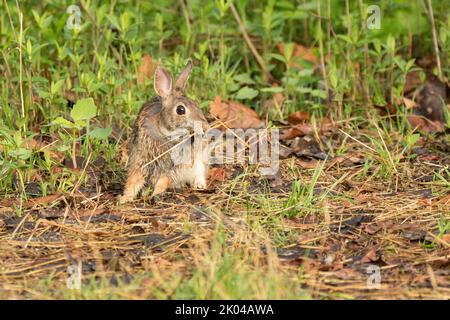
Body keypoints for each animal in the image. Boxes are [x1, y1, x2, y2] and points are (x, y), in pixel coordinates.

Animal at [119, 59, 211, 202]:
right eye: (180, 110)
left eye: (197, 104)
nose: (205, 127)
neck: (164, 133)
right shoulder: (139, 160)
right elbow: (133, 181)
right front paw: (124, 198)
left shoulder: (172, 168)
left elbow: (163, 181)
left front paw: (155, 195)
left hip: (200, 158)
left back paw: (199, 185)